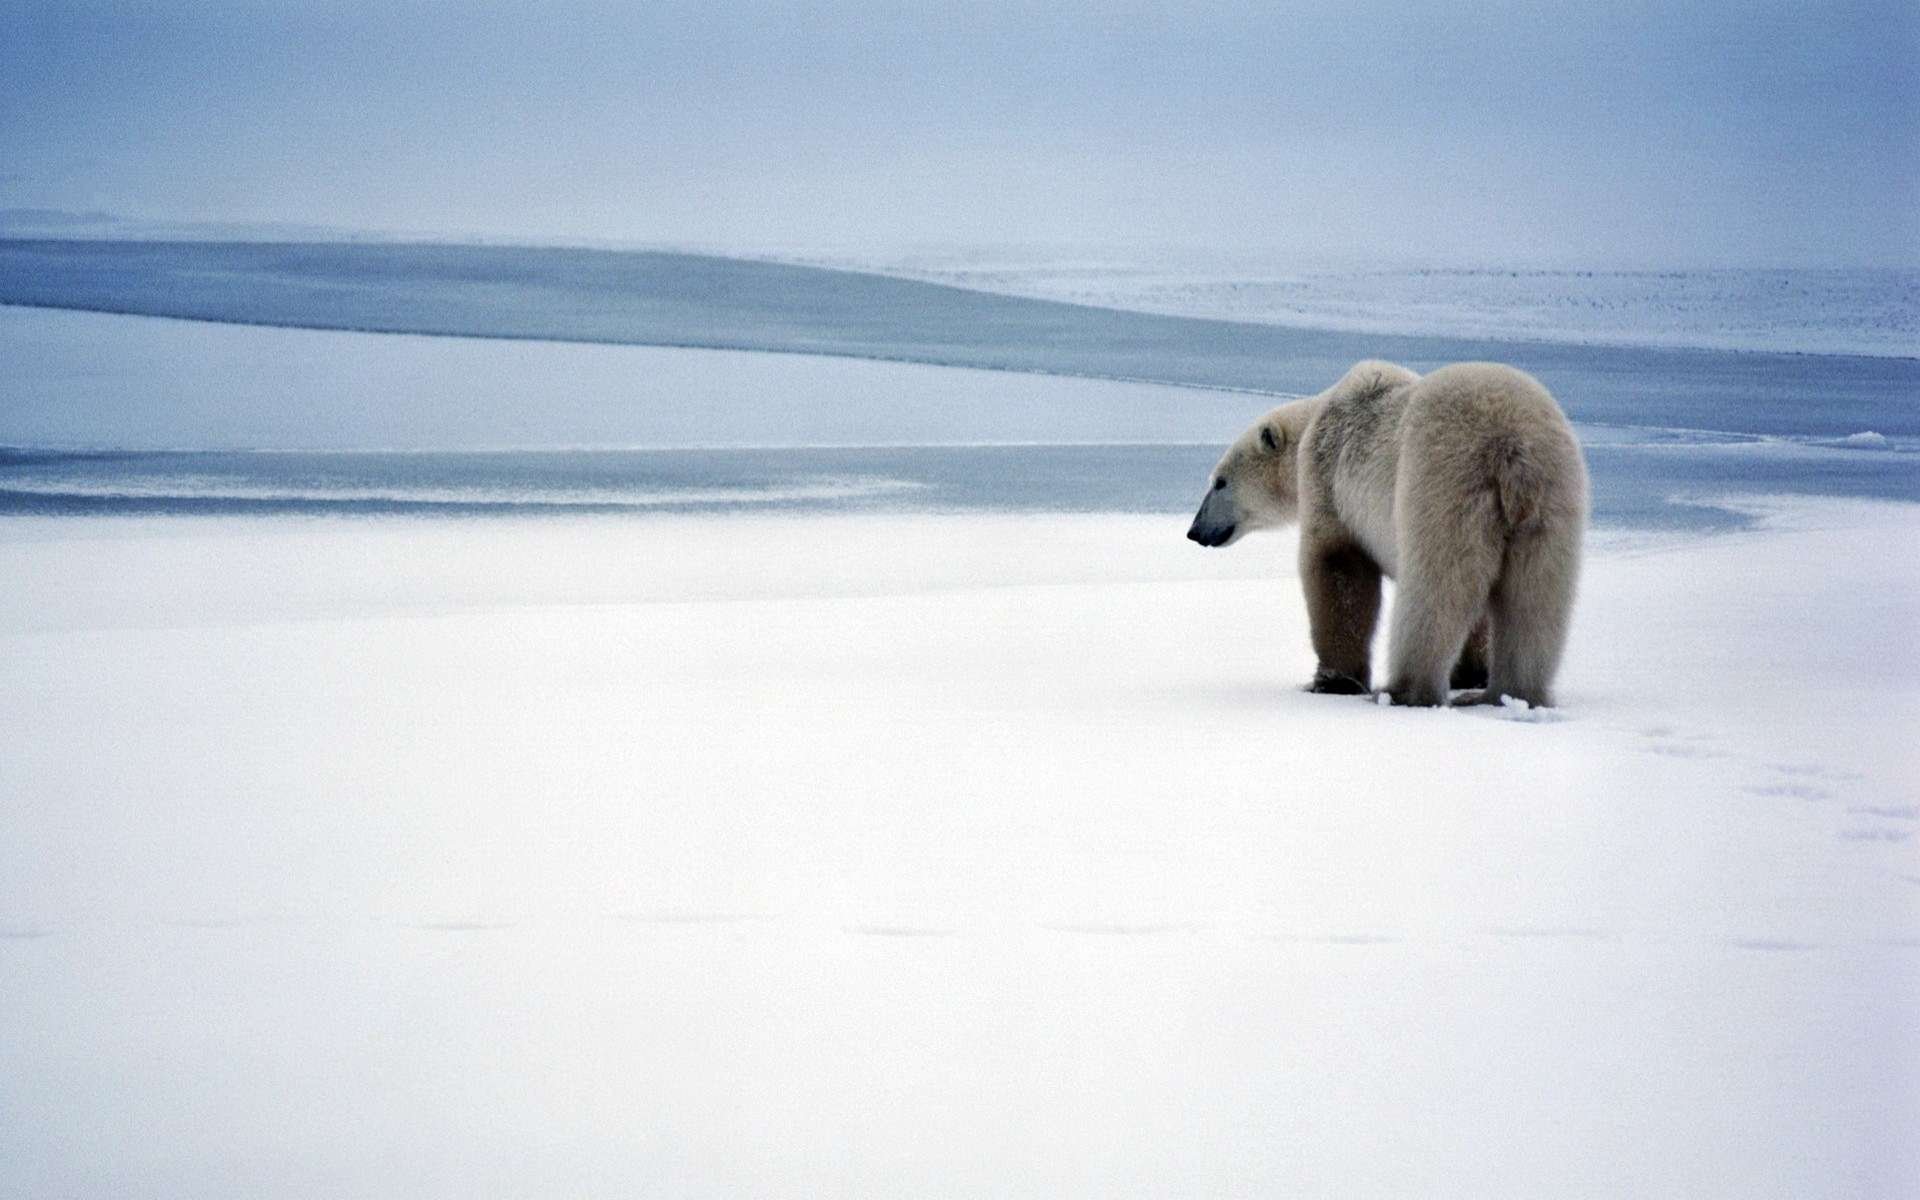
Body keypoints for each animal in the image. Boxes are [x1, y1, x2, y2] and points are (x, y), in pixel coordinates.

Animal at [1187, 360, 1588, 708]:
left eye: (1219, 482)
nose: (1194, 531)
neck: (1316, 420)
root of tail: (1511, 449)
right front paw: (1471, 672)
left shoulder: (1329, 477)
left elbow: (1338, 568)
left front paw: (1333, 681)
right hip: (1552, 500)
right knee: (1535, 599)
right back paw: (1508, 694)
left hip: (1442, 481)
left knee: (1436, 587)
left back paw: (1403, 690)